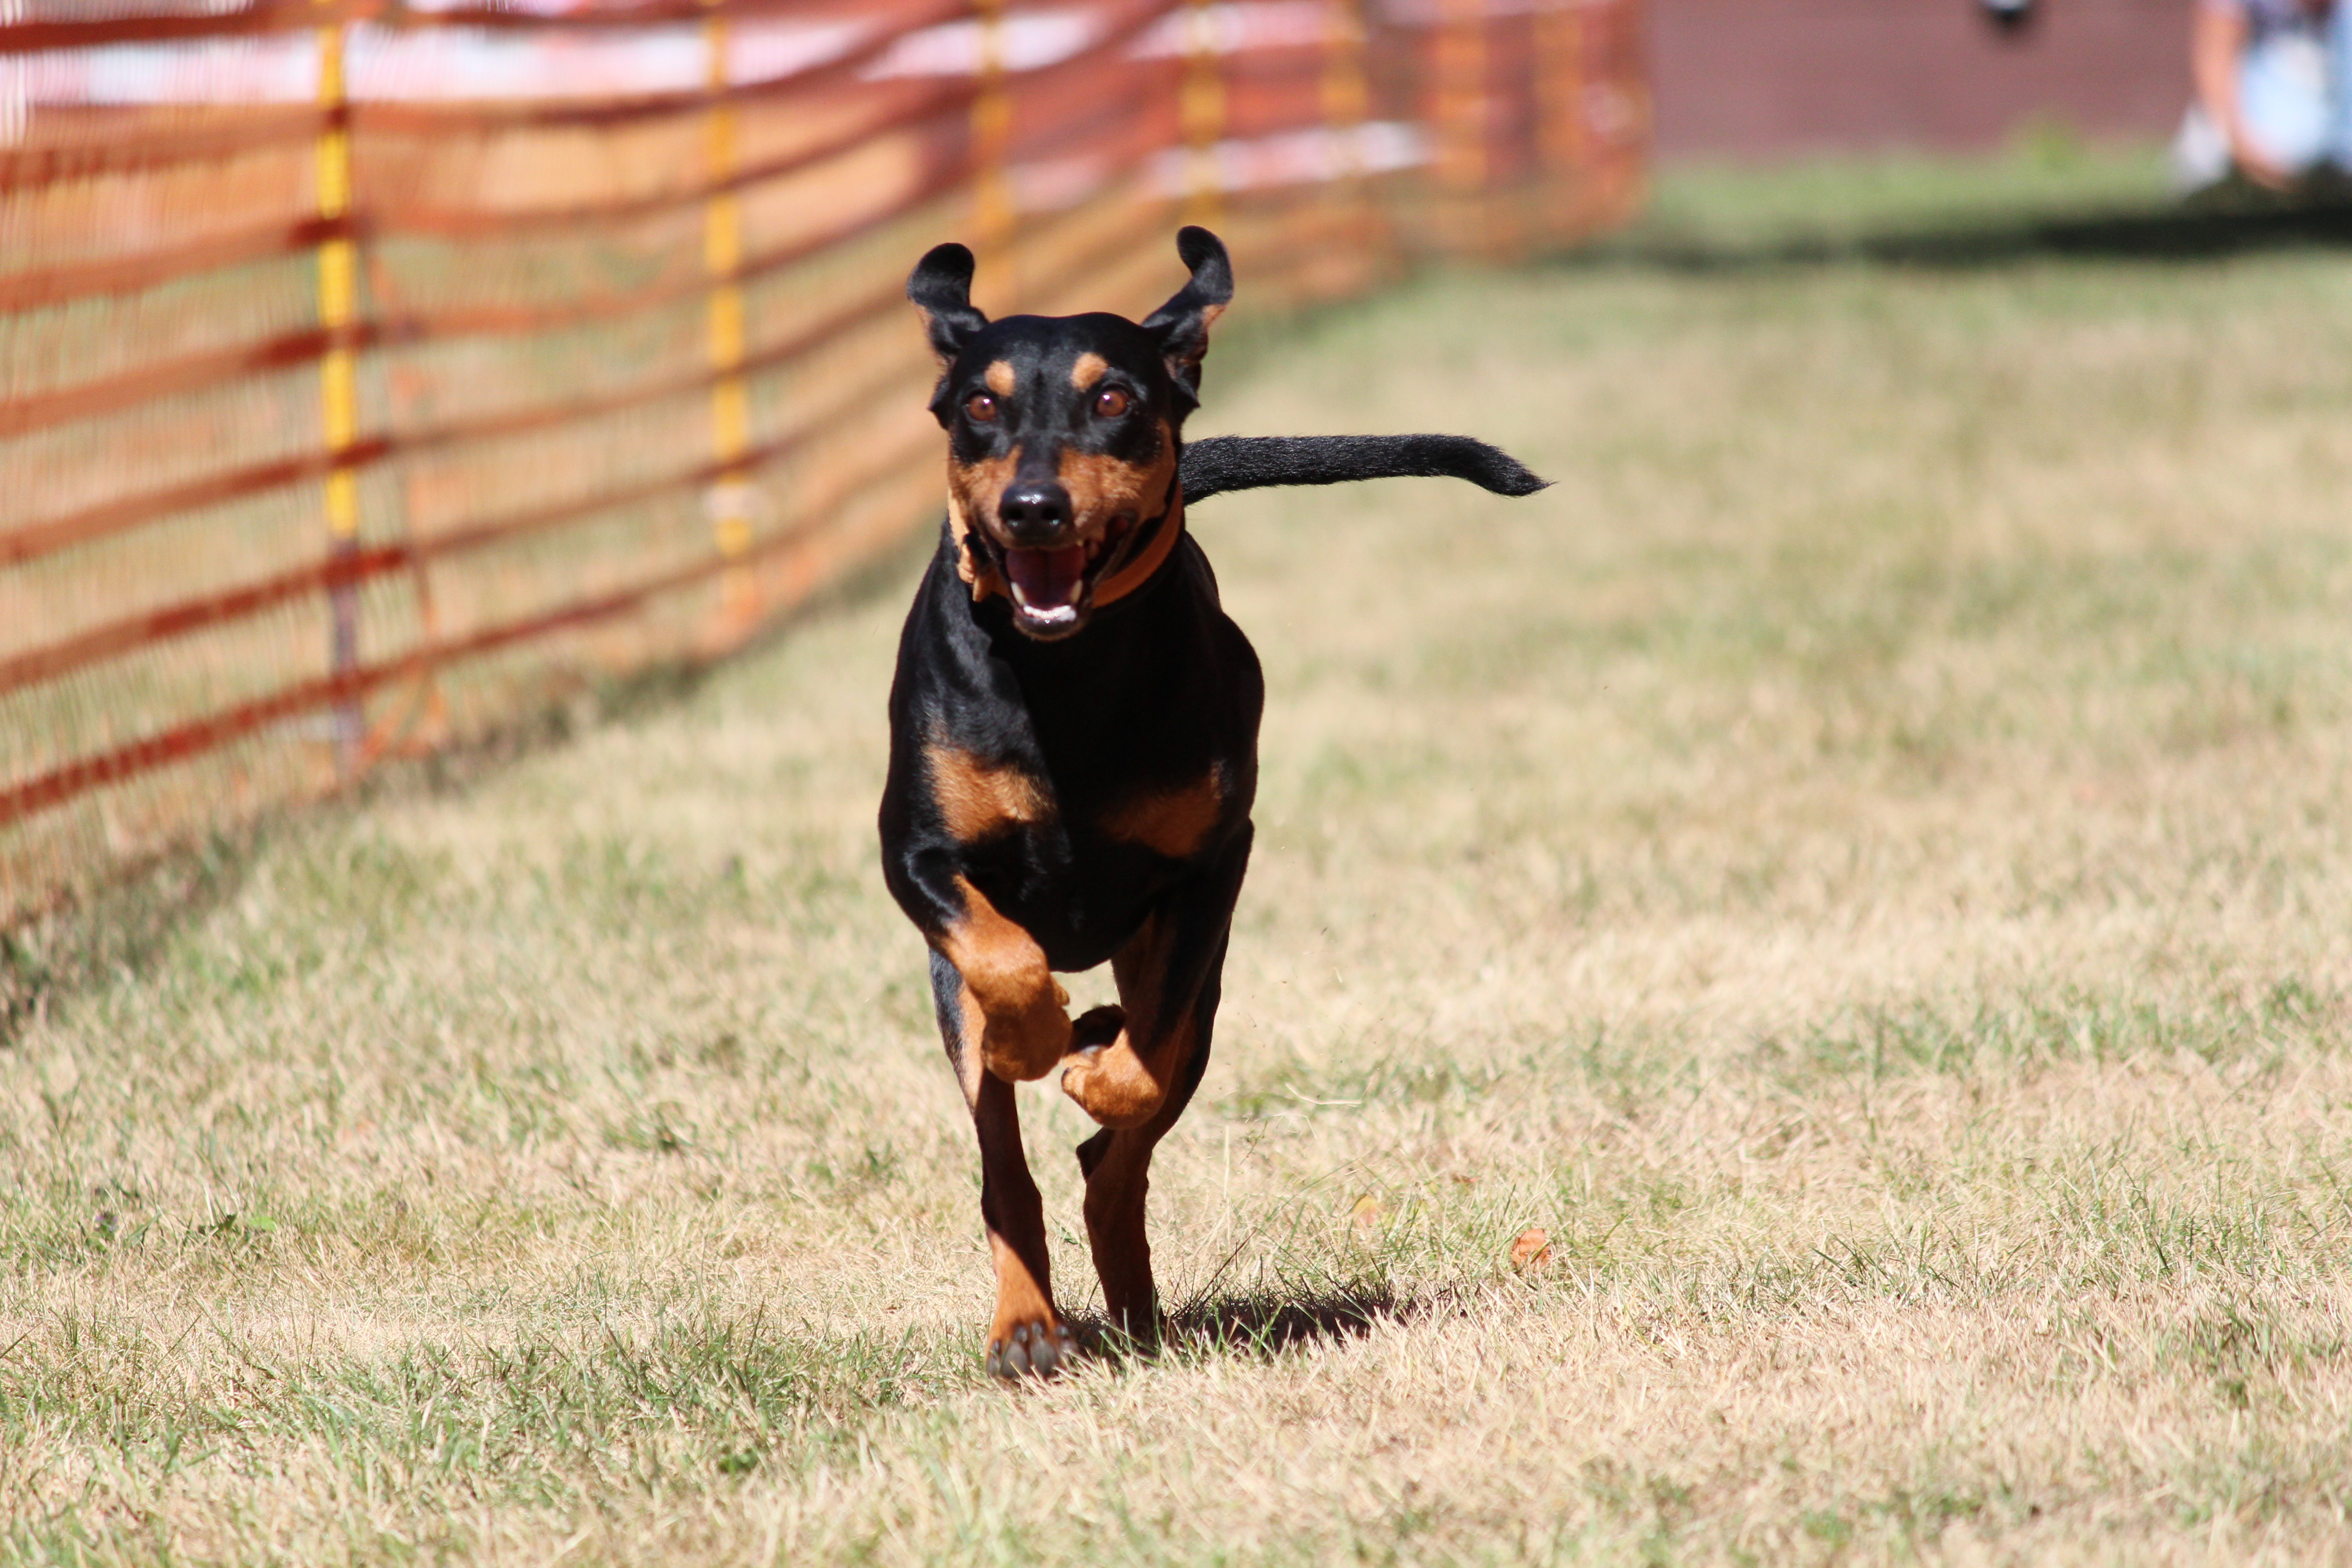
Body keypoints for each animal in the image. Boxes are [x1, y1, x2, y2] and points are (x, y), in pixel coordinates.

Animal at [884, 227, 1543, 1382]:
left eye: (1112, 398)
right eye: (979, 404)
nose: (1033, 508)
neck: (1064, 673)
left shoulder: (1208, 871)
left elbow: (1137, 1074)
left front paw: (1091, 1061)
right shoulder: (917, 852)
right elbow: (1005, 963)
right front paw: (1036, 1034)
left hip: (1202, 987)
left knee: (1117, 1148)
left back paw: (1134, 1298)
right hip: (949, 997)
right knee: (1006, 1161)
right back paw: (1026, 1324)